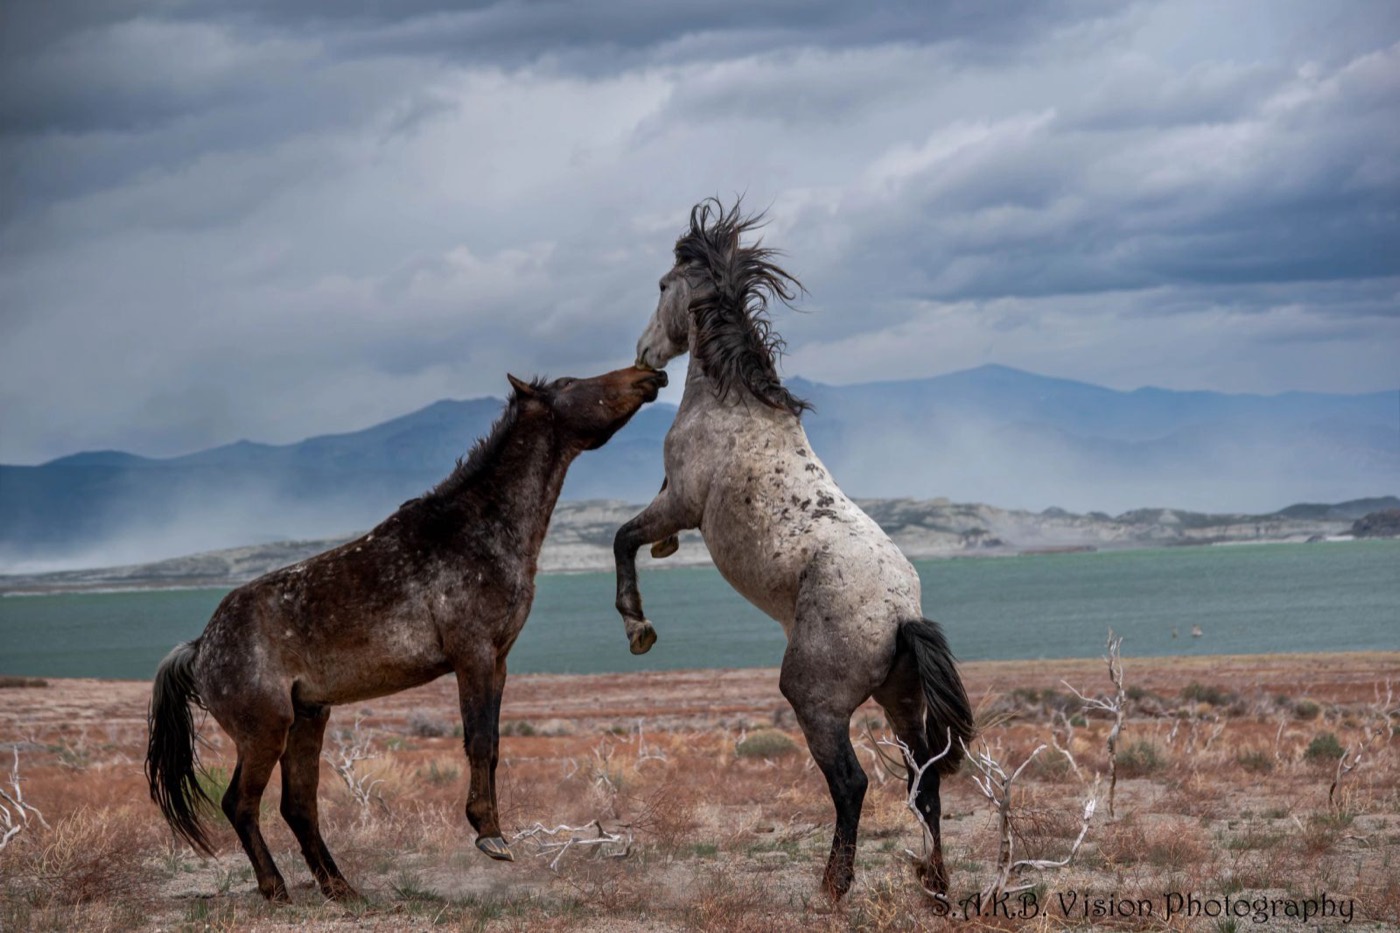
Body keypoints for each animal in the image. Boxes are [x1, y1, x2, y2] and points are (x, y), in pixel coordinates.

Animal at [147, 365, 666, 902]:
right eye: (569, 384)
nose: (649, 374)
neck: (477, 531)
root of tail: (201, 647)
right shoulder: (473, 656)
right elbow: (479, 742)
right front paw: (490, 836)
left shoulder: (498, 661)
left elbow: (493, 745)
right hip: (264, 731)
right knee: (241, 804)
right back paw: (276, 889)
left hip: (308, 719)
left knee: (298, 806)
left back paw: (340, 887)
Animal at [614, 200, 975, 900]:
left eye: (662, 285)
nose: (643, 353)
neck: (735, 404)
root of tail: (901, 616)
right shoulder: (674, 498)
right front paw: (663, 557)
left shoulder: (685, 502)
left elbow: (623, 537)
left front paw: (637, 626)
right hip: (900, 701)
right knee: (924, 783)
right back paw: (935, 887)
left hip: (815, 700)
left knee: (853, 784)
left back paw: (834, 885)